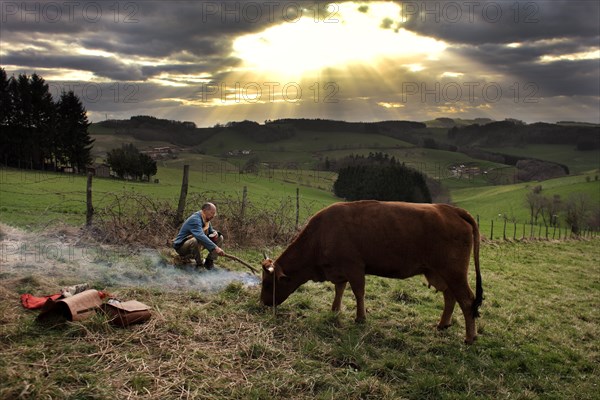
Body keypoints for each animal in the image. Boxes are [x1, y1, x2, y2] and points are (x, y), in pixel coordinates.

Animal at [260, 200, 486, 344]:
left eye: (268, 283)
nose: (263, 303)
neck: (321, 235)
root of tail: (452, 210)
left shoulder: (355, 268)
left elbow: (358, 292)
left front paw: (360, 318)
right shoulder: (339, 270)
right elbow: (339, 290)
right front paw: (335, 310)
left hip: (454, 273)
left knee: (467, 301)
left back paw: (469, 338)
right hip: (440, 273)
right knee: (450, 297)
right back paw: (443, 324)